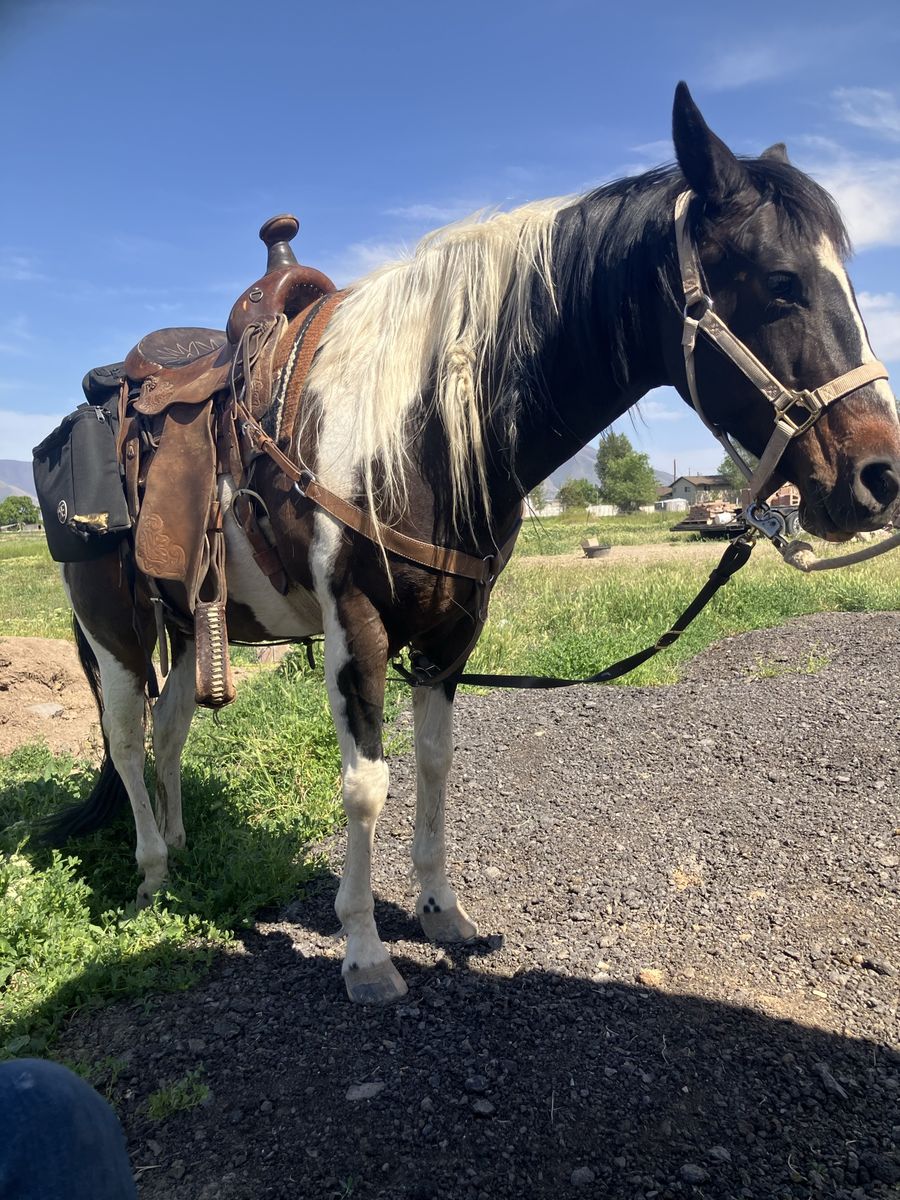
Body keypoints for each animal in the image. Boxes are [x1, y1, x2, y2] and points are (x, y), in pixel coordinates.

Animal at [45, 82, 900, 1003]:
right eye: (782, 282)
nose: (880, 477)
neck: (410, 433)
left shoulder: (453, 633)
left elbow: (433, 764)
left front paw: (439, 911)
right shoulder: (358, 629)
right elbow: (365, 787)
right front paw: (364, 951)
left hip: (188, 616)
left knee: (169, 732)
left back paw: (181, 846)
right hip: (112, 629)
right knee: (128, 739)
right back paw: (153, 873)